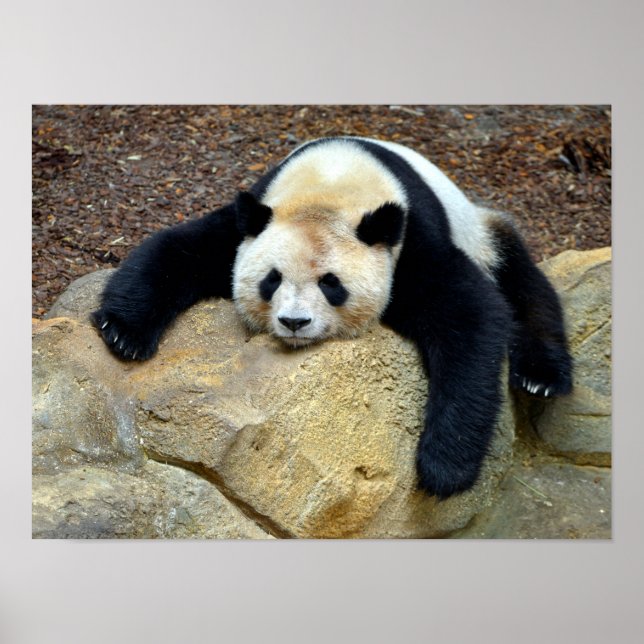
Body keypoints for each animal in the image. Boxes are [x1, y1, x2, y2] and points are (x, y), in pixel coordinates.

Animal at [92, 136, 572, 499]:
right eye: (271, 279)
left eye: (331, 283)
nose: (294, 322)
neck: (332, 182)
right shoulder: (252, 220)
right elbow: (179, 249)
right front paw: (123, 332)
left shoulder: (410, 242)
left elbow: (471, 316)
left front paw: (444, 468)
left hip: (480, 231)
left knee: (523, 285)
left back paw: (541, 376)